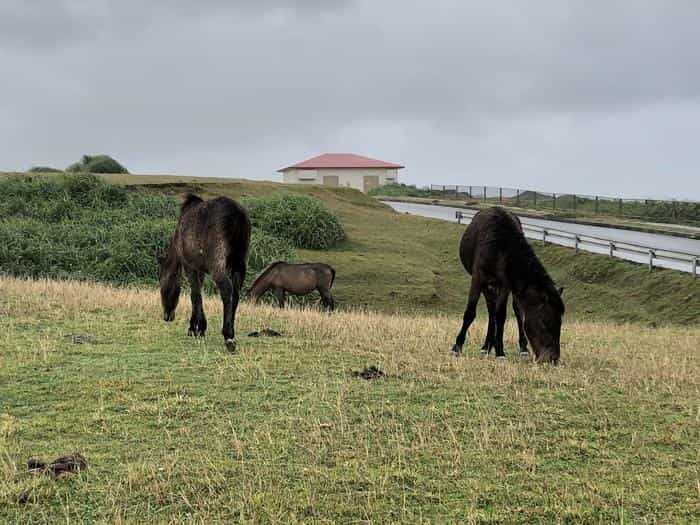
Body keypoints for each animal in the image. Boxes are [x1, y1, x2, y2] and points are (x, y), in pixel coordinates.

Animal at [157, 193, 250, 352]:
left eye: (163, 288)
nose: (167, 316)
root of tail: (237, 215)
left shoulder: (190, 267)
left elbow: (195, 295)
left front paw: (196, 328)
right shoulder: (199, 269)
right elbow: (198, 294)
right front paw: (197, 326)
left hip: (217, 264)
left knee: (226, 289)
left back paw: (228, 336)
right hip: (239, 265)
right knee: (236, 295)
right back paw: (232, 330)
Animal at [452, 207, 568, 362]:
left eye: (560, 324)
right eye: (545, 322)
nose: (552, 358)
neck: (500, 248)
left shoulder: (506, 284)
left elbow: (501, 315)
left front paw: (500, 352)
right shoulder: (478, 278)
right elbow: (471, 312)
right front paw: (457, 347)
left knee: (515, 310)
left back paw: (521, 348)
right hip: (487, 285)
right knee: (491, 310)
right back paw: (486, 346)